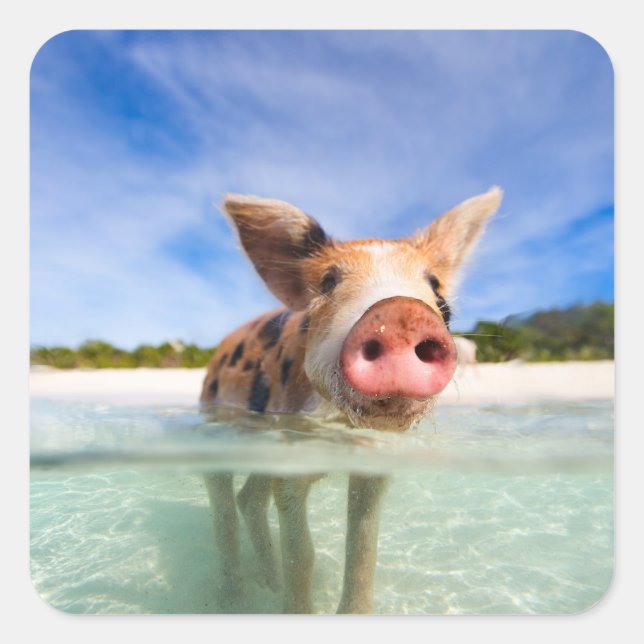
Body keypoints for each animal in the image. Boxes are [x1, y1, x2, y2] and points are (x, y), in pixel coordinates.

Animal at [200, 187, 502, 613]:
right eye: (328, 282)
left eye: (436, 288)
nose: (400, 313)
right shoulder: (289, 455)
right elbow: (302, 555)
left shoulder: (374, 463)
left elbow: (362, 550)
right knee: (224, 507)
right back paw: (234, 599)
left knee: (250, 501)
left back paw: (268, 585)